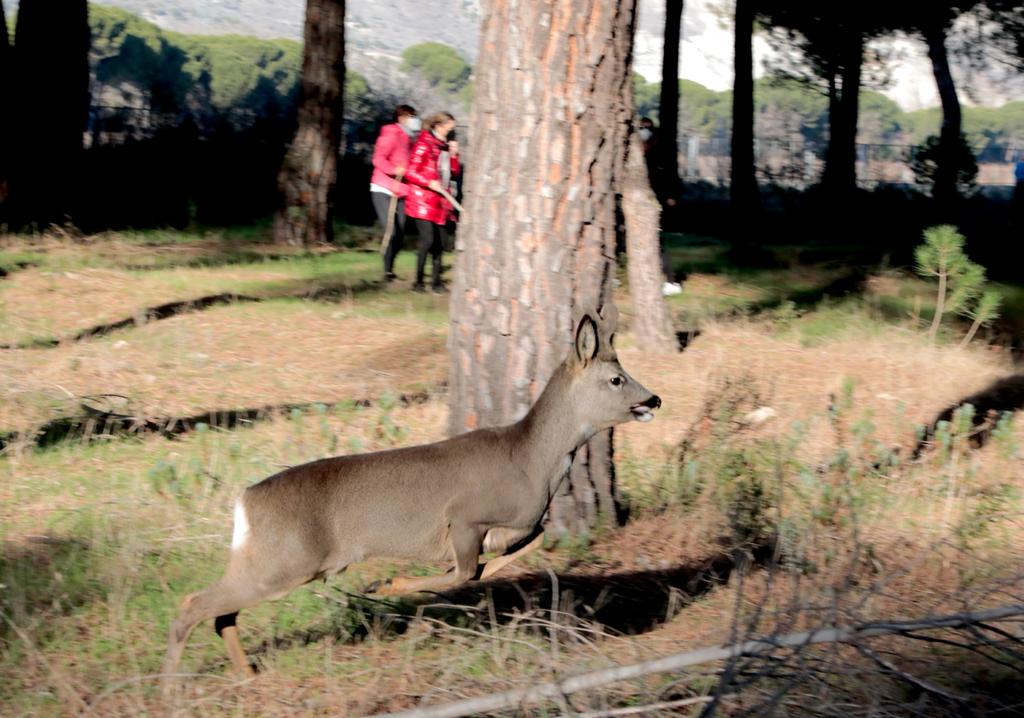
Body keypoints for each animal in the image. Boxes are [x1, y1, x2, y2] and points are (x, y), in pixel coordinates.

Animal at [159, 307, 655, 688]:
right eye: (616, 378)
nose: (654, 399)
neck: (533, 459)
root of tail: (244, 502)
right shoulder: (464, 518)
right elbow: (465, 573)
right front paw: (387, 585)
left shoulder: (517, 525)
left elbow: (516, 551)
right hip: (285, 562)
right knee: (192, 606)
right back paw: (170, 689)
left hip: (263, 561)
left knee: (221, 614)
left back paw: (246, 675)